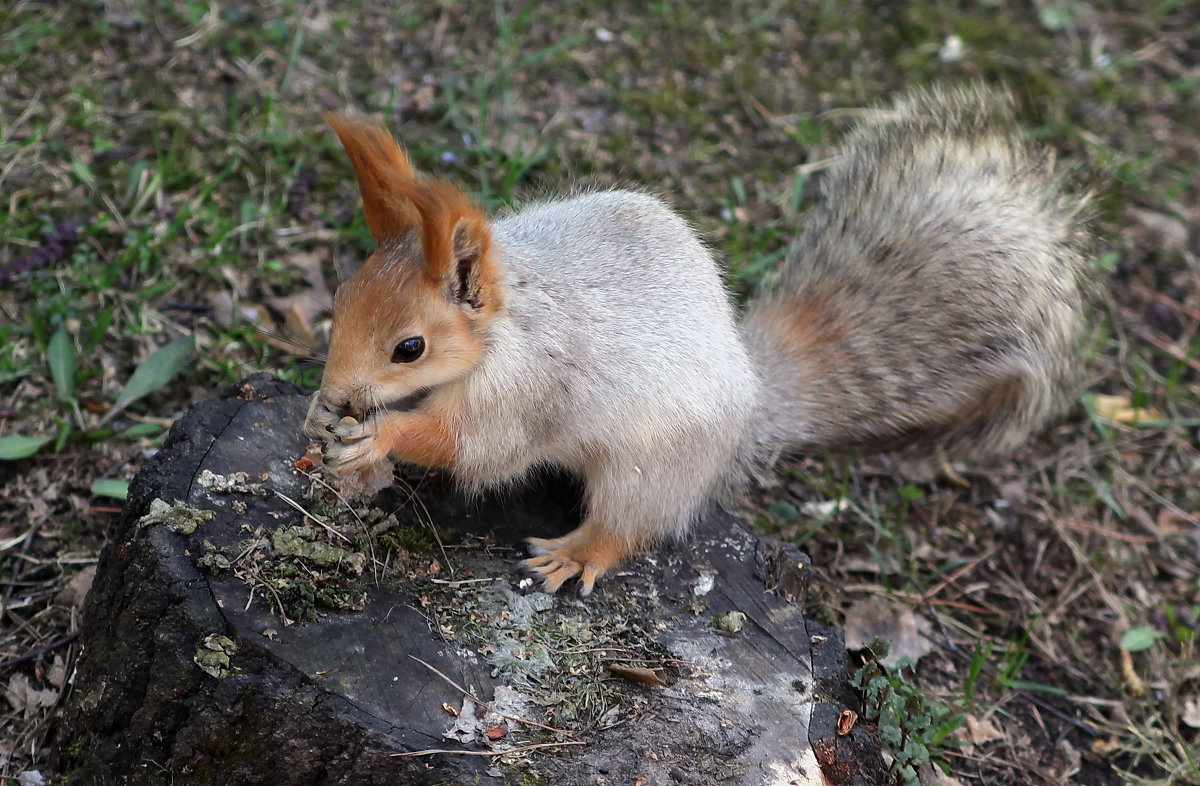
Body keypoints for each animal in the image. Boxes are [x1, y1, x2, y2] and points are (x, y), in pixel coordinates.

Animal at [304, 84, 1094, 597]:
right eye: (340, 299)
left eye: (410, 348)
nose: (337, 391)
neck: (507, 327)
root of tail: (751, 396)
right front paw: (324, 421)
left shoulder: (527, 392)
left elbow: (475, 447)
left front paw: (381, 437)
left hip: (651, 465)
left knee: (630, 524)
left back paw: (577, 553)